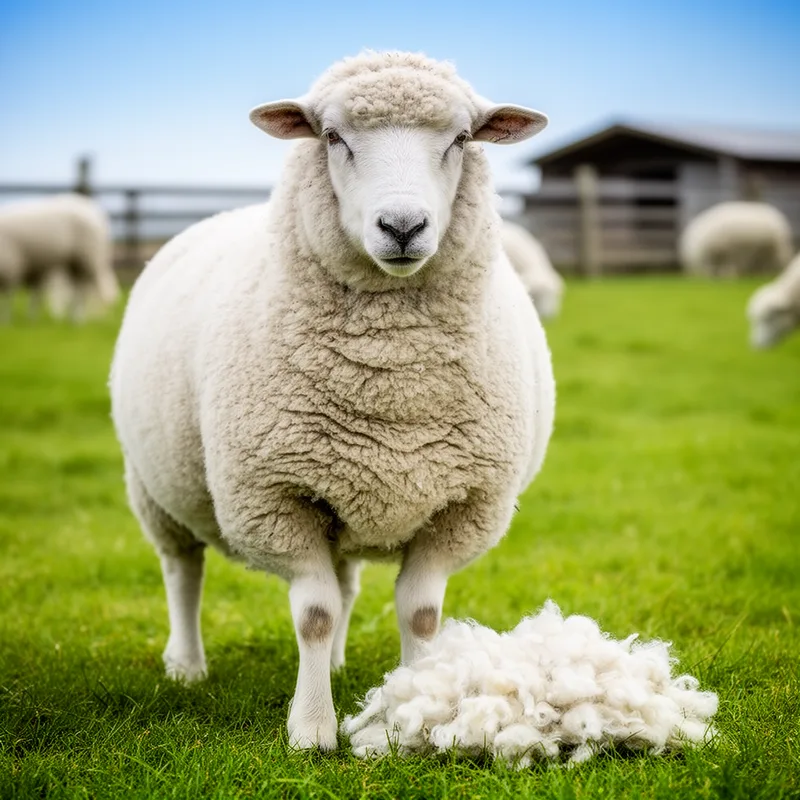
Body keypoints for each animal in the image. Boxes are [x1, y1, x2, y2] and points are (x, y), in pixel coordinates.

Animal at [0, 193, 119, 322]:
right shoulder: (33, 268)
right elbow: (35, 294)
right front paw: (31, 319)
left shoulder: (11, 268)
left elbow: (8, 297)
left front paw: (6, 319)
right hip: (75, 263)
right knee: (78, 288)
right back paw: (72, 316)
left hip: (87, 257)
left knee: (88, 289)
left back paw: (78, 318)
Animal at [109, 50, 556, 751]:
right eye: (331, 137)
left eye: (461, 139)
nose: (402, 226)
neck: (391, 384)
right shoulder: (276, 497)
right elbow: (313, 614)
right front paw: (312, 731)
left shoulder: (462, 504)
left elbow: (419, 615)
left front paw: (413, 708)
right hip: (155, 486)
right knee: (183, 569)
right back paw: (186, 665)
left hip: (343, 493)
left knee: (344, 583)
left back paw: (339, 661)